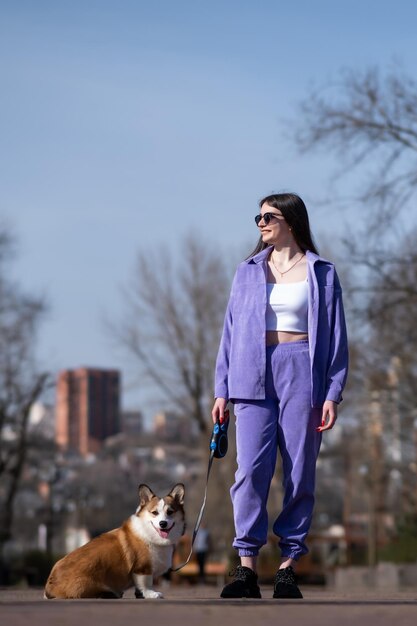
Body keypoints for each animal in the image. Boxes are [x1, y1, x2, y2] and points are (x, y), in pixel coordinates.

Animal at [43, 480, 184, 596]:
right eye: (154, 513)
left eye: (170, 512)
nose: (163, 523)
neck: (150, 534)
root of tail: (49, 587)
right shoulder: (142, 568)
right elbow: (145, 584)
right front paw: (151, 594)